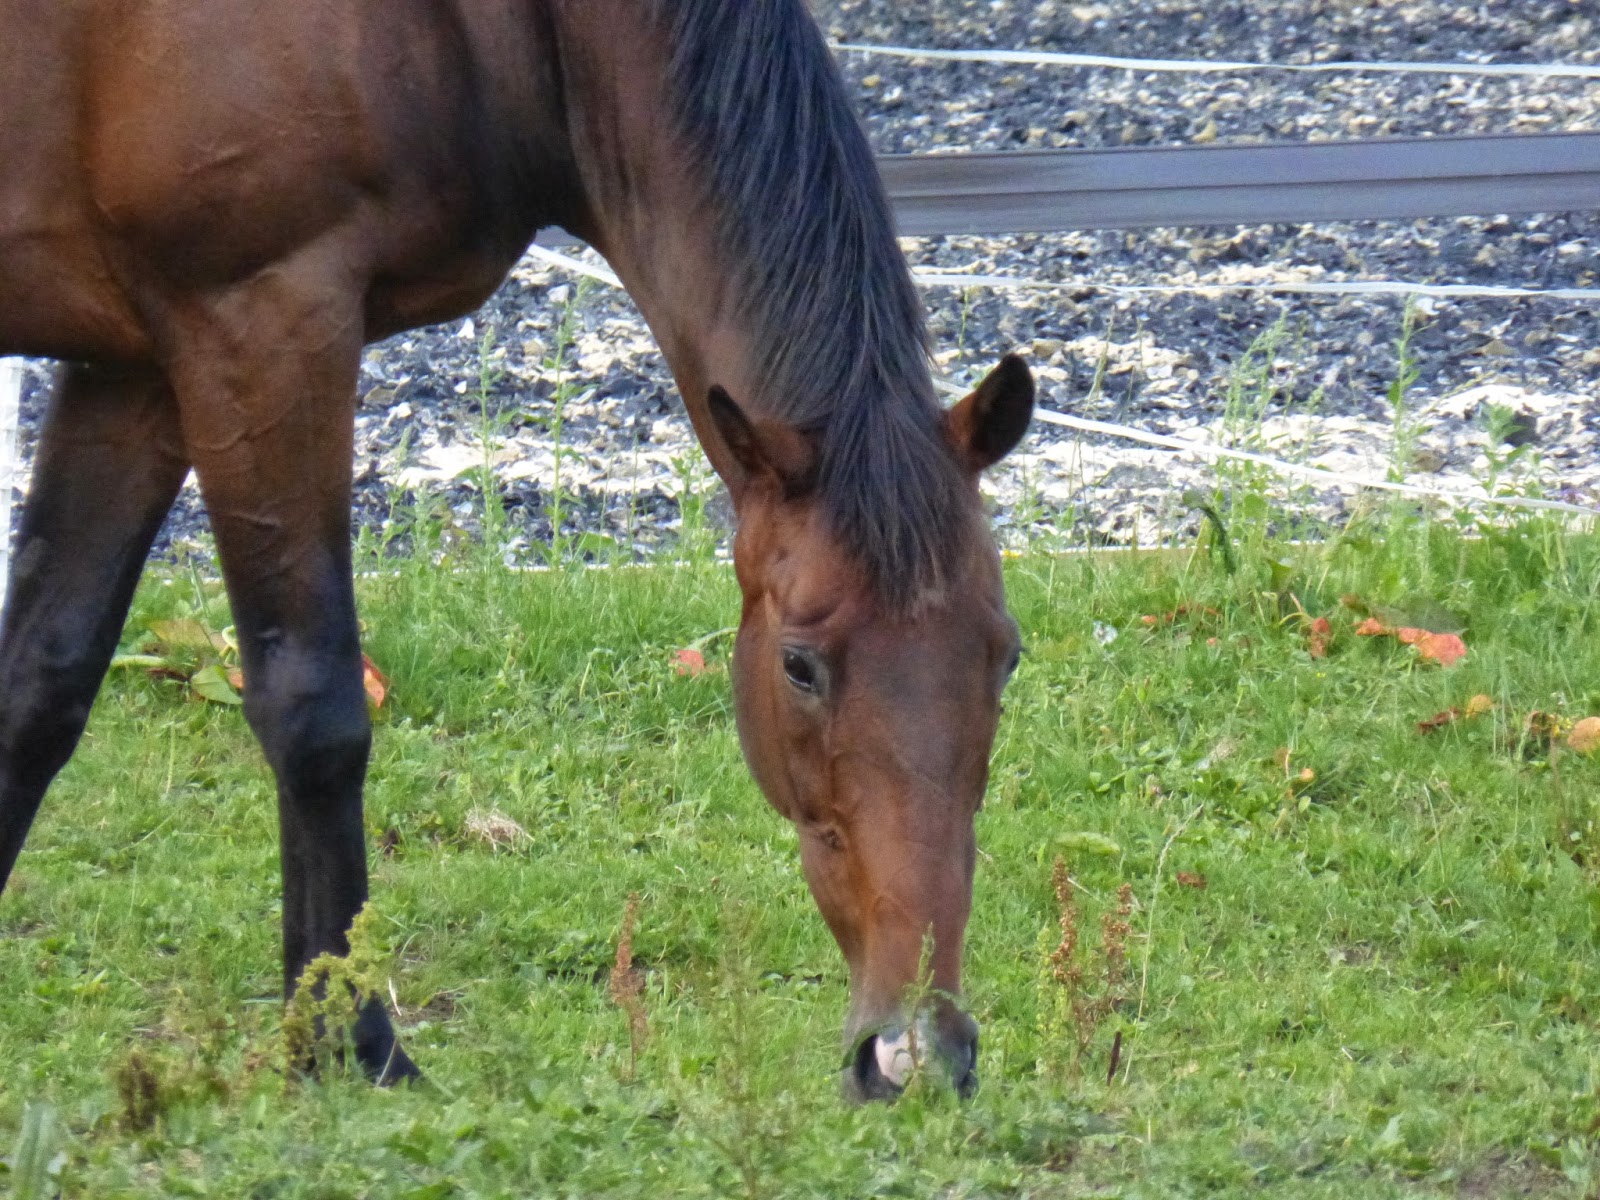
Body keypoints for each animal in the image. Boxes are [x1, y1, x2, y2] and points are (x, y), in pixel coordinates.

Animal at [0, 0, 1034, 1101]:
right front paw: (354, 1044)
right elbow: (314, 712)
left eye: (1003, 655)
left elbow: (40, 685)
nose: (919, 1052)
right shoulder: (257, 324)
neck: (504, 32)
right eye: (799, 666)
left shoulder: (134, 368)